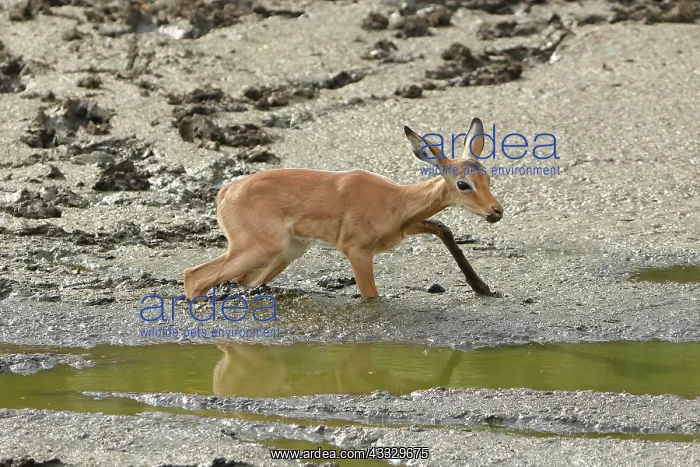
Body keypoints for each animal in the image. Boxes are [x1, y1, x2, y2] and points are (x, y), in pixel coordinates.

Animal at [183, 118, 503, 299]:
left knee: (237, 280)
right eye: (463, 184)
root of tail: (227, 191)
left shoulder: (404, 229)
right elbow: (371, 296)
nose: (496, 211)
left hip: (286, 251)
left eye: (486, 176)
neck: (394, 199)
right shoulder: (357, 252)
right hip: (259, 248)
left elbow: (442, 228)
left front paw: (483, 288)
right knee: (193, 276)